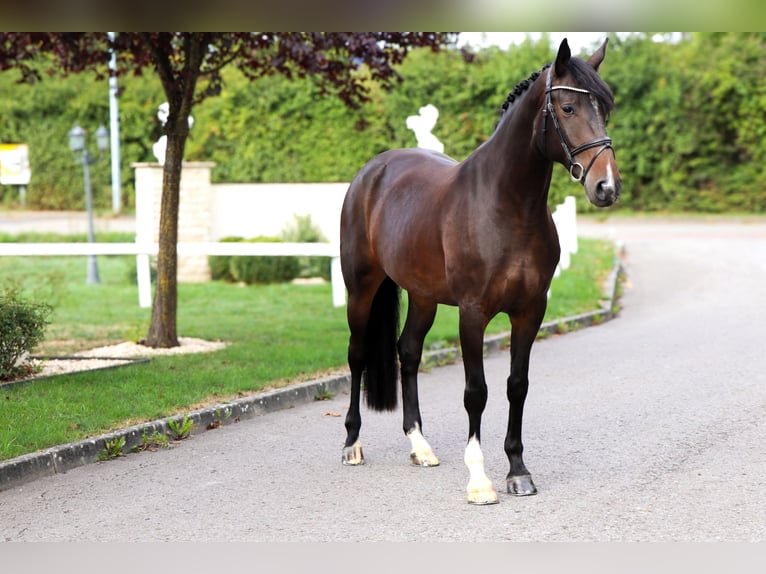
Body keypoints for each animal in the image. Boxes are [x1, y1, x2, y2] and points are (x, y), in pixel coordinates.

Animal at [339, 38, 621, 505]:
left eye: (605, 108)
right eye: (567, 108)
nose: (607, 187)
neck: (507, 206)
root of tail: (370, 172)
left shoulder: (530, 312)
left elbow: (516, 385)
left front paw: (518, 471)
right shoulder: (473, 313)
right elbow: (477, 392)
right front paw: (480, 480)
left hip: (423, 296)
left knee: (408, 351)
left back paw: (420, 446)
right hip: (361, 288)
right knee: (357, 355)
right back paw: (351, 444)